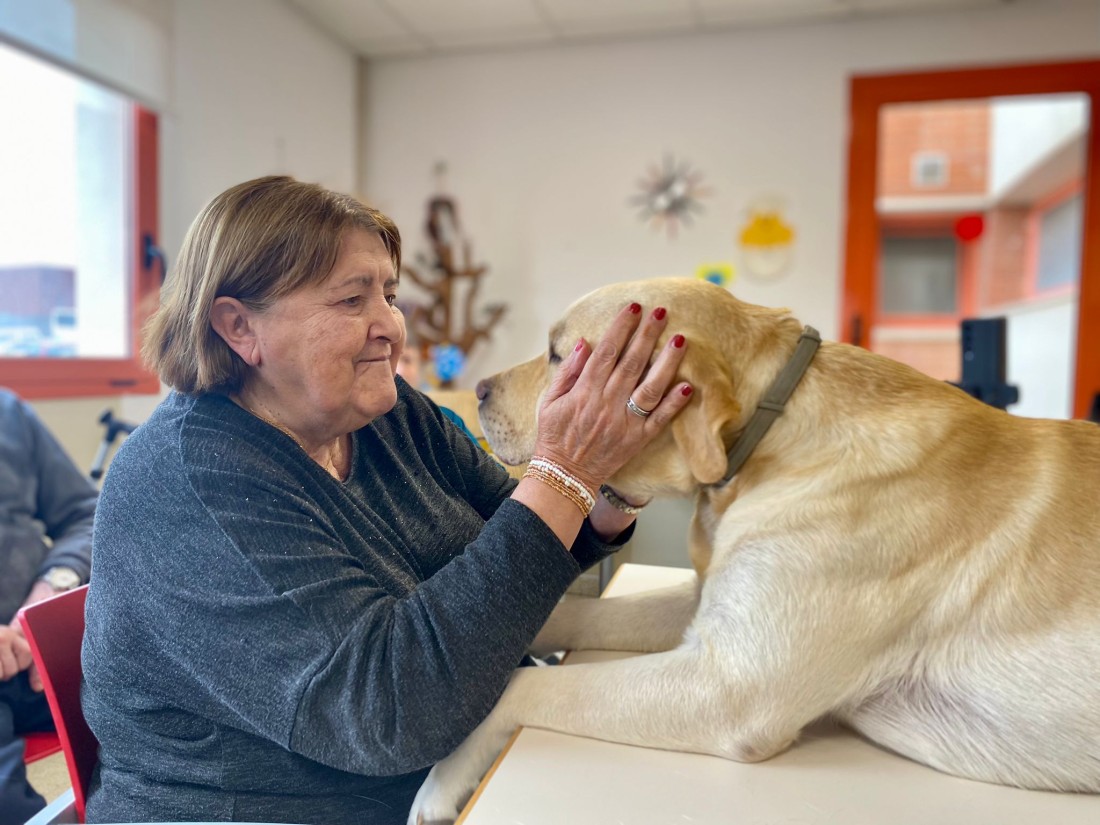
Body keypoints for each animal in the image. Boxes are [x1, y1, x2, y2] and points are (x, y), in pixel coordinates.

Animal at [409, 277, 1100, 823]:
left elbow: (525, 688)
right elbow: (568, 611)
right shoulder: (709, 608)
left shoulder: (731, 687)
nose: (478, 390)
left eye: (559, 356)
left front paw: (441, 783)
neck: (774, 433)